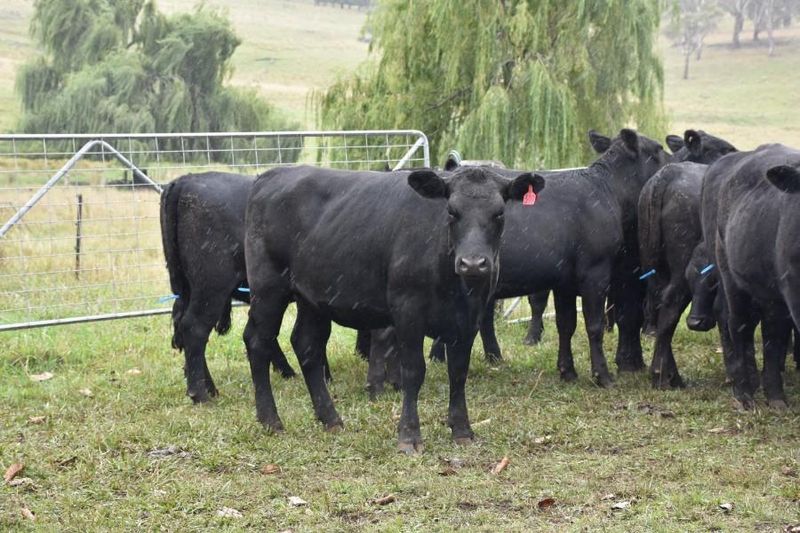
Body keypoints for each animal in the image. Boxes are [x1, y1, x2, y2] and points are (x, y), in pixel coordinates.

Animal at [244, 164, 544, 450]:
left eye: (499, 213)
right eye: (451, 211)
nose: (472, 263)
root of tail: (271, 175)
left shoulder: (470, 315)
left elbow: (459, 371)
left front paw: (462, 430)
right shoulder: (407, 309)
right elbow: (413, 370)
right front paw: (409, 436)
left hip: (311, 297)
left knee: (306, 345)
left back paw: (330, 419)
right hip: (268, 288)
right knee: (258, 340)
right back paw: (271, 420)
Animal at [636, 129, 736, 386]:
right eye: (724, 149)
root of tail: (666, 175)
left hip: (656, 265)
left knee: (660, 305)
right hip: (682, 264)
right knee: (671, 303)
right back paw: (665, 377)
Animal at [704, 143, 800, 406]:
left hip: (769, 292)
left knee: (771, 333)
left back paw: (774, 394)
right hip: (729, 274)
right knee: (738, 324)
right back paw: (744, 390)